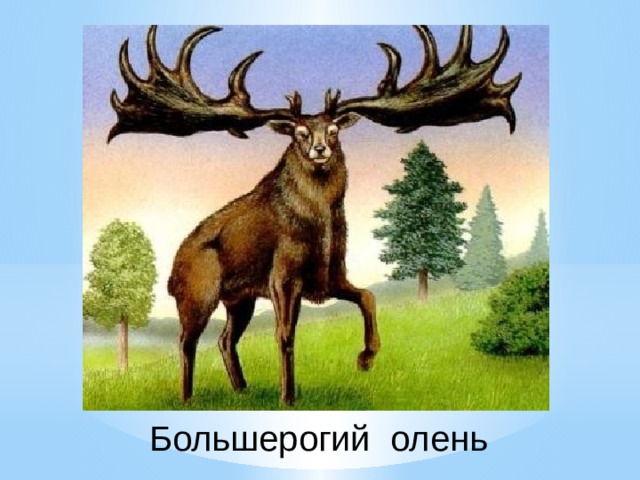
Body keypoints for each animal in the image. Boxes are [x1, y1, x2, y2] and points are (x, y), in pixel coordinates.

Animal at [108, 25, 521, 406]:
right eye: (300, 133)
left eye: (335, 129)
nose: (320, 149)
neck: (320, 228)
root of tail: (173, 270)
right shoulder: (282, 276)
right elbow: (285, 335)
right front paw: (288, 397)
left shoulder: (331, 274)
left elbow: (367, 296)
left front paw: (366, 358)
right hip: (198, 292)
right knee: (187, 341)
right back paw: (187, 397)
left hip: (239, 299)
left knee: (225, 339)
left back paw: (241, 389)